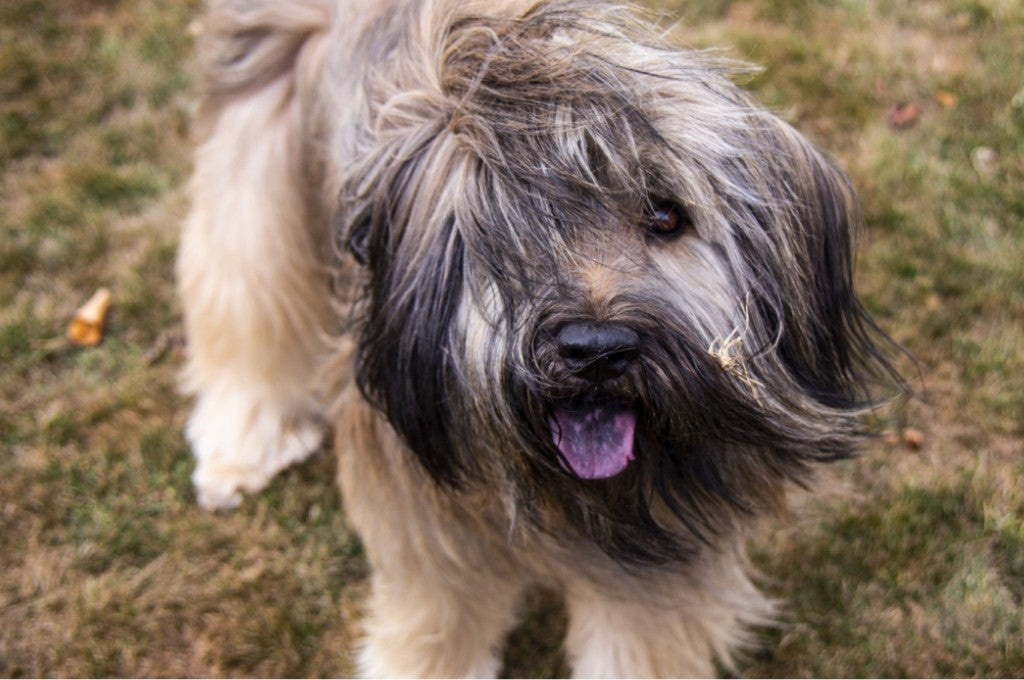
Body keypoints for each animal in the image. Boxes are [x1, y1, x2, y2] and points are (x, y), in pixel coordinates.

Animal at [176, 0, 897, 675]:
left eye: (667, 216)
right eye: (517, 226)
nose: (596, 351)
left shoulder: (664, 547)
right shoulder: (426, 524)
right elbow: (437, 621)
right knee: (243, 282)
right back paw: (243, 439)